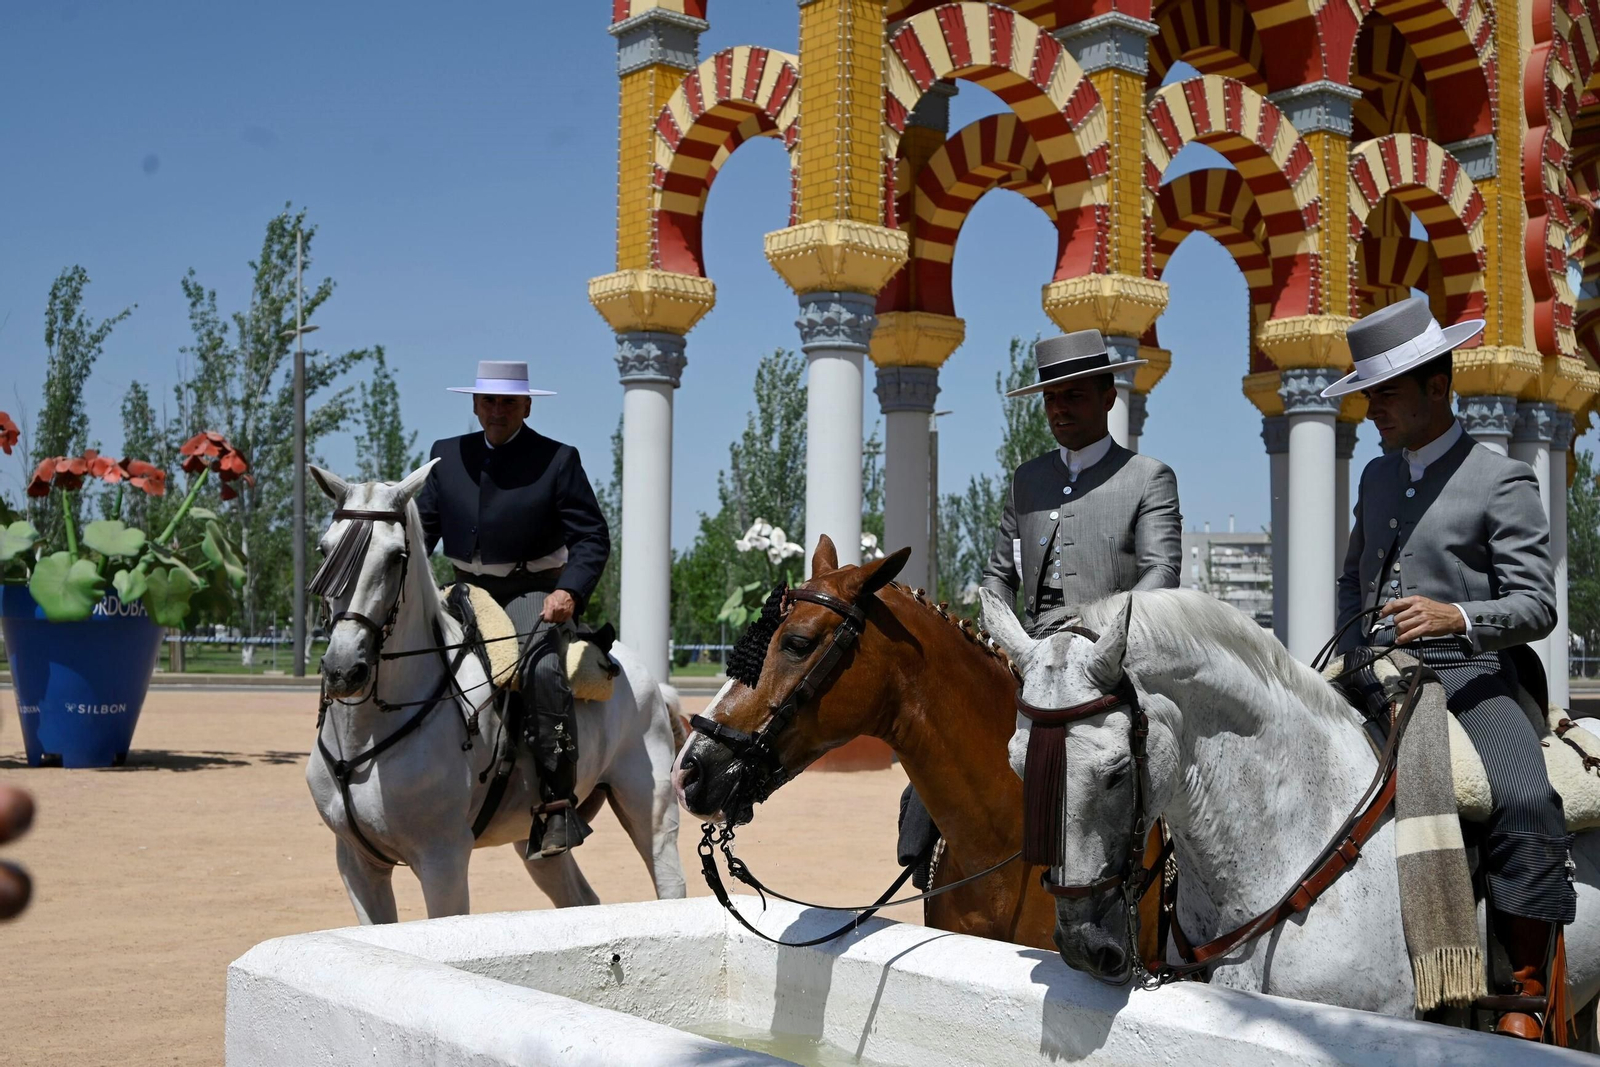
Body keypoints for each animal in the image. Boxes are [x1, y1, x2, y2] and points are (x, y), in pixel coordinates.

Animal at [304, 461, 685, 922]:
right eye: (324, 550)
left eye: (397, 557)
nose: (344, 670)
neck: (365, 735)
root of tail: (648, 678)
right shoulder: (356, 863)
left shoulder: (443, 861)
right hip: (536, 841)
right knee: (580, 898)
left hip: (652, 812)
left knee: (671, 886)